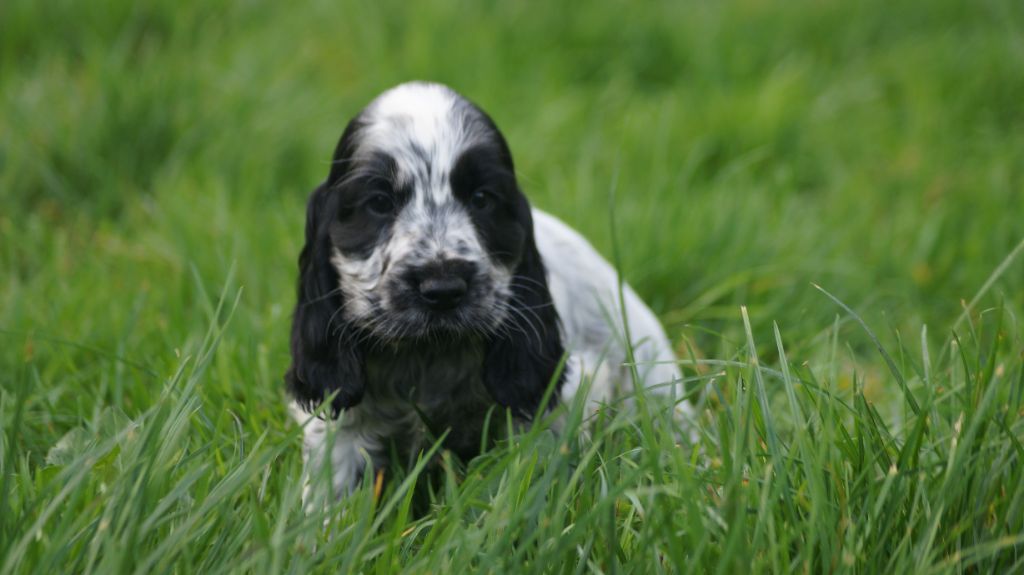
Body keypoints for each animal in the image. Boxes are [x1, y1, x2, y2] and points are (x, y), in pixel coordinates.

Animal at [284, 81, 692, 501]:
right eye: (379, 202)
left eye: (482, 199)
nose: (443, 289)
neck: (429, 356)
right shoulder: (341, 422)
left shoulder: (553, 401)